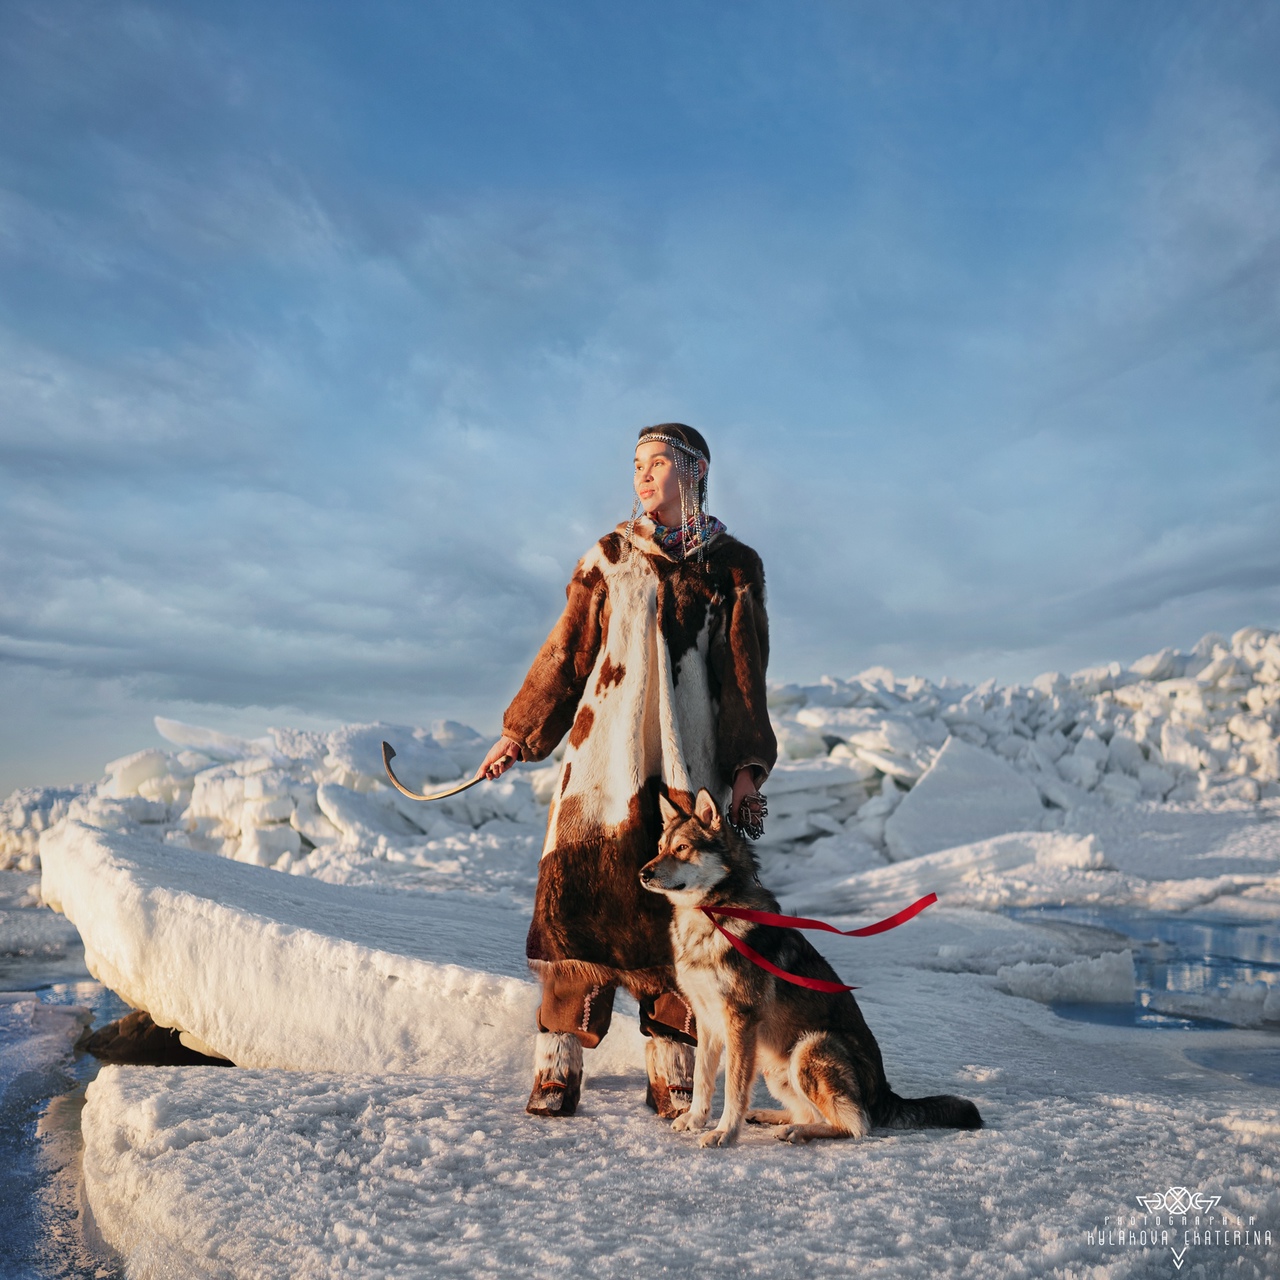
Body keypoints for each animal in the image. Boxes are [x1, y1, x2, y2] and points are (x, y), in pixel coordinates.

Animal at [637, 788, 977, 1152]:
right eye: (660, 847)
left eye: (682, 848)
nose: (643, 874)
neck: (711, 914)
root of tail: (885, 1094)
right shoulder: (706, 1019)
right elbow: (702, 1079)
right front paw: (695, 1119)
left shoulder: (740, 1020)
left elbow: (734, 1089)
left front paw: (724, 1132)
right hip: (775, 1067)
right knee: (816, 1113)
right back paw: (775, 1118)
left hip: (809, 1048)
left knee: (856, 1125)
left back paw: (797, 1132)